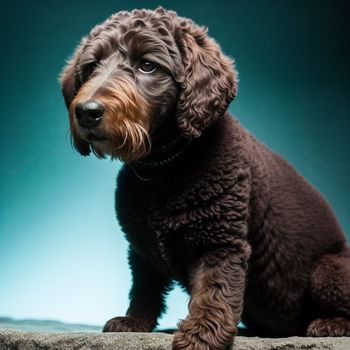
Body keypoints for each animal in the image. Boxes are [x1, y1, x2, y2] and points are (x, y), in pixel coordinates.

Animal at [60, 5, 350, 350]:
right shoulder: (141, 250)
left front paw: (201, 335)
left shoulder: (220, 243)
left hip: (327, 271)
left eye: (147, 65)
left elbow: (215, 289)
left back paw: (331, 325)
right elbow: (145, 285)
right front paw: (134, 321)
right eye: (92, 65)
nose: (87, 111)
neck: (161, 168)